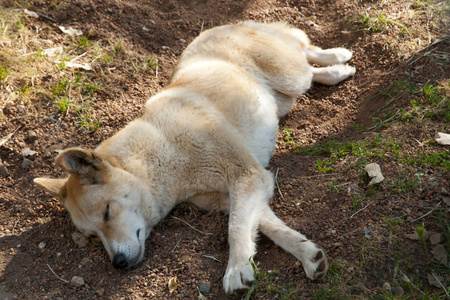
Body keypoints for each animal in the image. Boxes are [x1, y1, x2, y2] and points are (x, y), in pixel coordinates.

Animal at [34, 21, 356, 296]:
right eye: (92, 236)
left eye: (107, 213)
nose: (118, 264)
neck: (163, 155)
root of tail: (227, 24)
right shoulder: (231, 196)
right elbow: (266, 226)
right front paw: (306, 253)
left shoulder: (247, 176)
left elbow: (236, 229)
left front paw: (236, 269)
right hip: (284, 97)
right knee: (308, 66)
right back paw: (335, 70)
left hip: (291, 76)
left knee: (303, 48)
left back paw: (338, 58)